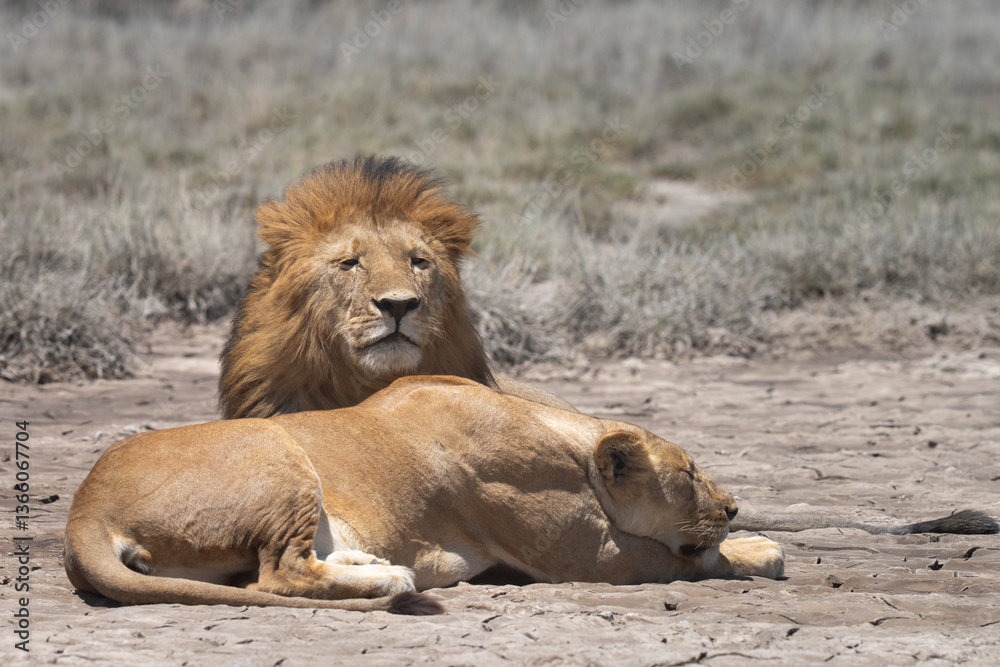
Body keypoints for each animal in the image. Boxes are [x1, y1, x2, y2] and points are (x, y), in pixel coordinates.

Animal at [65, 375, 790, 614]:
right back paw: (390, 577)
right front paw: (758, 548)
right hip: (275, 449)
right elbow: (687, 558)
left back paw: (368, 562)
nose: (733, 507)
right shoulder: (589, 558)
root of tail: (82, 510)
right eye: (690, 473)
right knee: (276, 576)